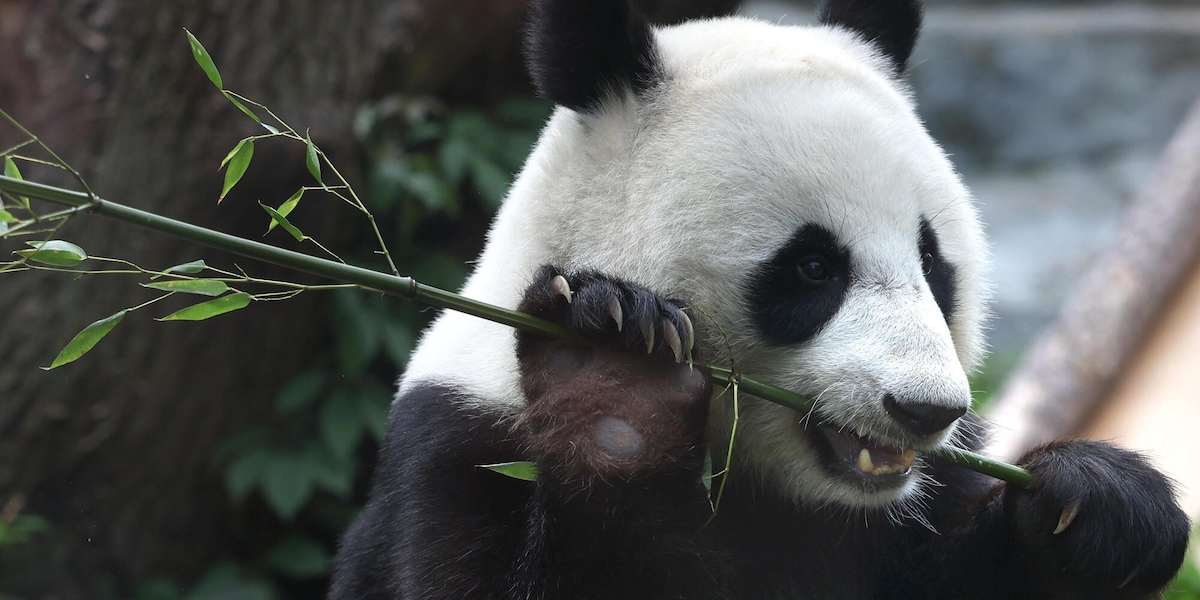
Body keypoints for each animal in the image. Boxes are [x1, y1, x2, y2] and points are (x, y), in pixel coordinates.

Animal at [331, 0, 1189, 598]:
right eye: (812, 268)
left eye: (932, 262)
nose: (925, 410)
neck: (767, 484)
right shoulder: (457, 445)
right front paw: (614, 383)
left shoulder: (921, 497)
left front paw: (1102, 513)